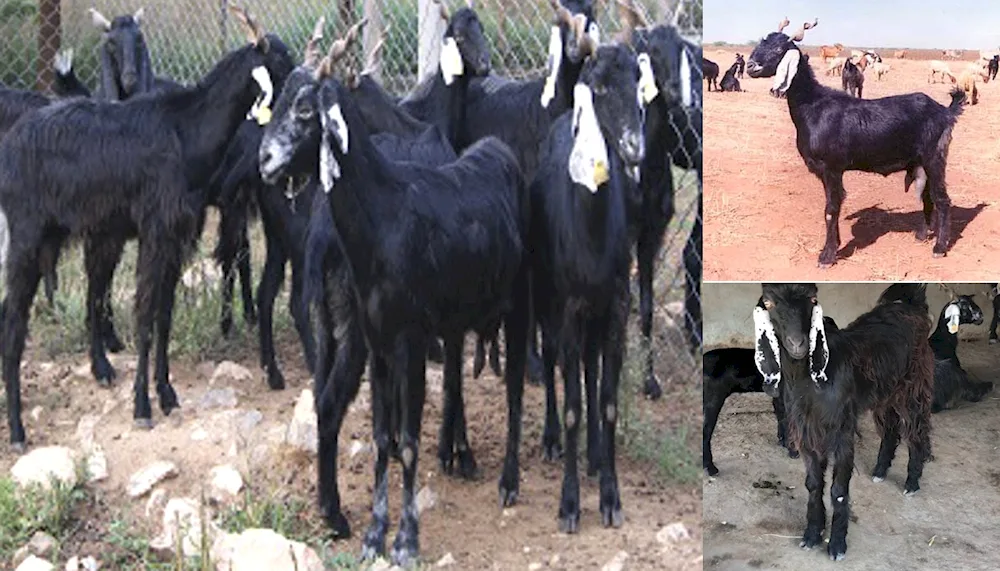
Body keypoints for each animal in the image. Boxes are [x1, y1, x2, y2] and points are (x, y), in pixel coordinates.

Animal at [0, 5, 292, 452]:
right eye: (280, 61)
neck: (185, 131)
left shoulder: (175, 237)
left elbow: (163, 316)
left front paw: (167, 394)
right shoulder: (155, 233)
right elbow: (143, 315)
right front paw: (141, 406)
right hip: (27, 237)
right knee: (14, 322)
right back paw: (17, 430)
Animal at [704, 348, 796, 478]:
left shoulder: (778, 395)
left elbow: (781, 416)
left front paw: (782, 441)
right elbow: (788, 420)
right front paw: (793, 451)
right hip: (713, 400)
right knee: (706, 432)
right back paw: (711, 468)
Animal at [748, 18, 964, 268]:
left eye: (778, 49)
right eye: (760, 43)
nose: (750, 66)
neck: (813, 106)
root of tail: (945, 112)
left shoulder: (831, 167)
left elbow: (831, 209)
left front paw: (827, 256)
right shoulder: (824, 172)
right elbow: (832, 208)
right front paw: (835, 246)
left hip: (934, 157)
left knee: (943, 199)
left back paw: (939, 247)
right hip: (920, 162)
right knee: (928, 196)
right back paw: (922, 235)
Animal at [756, 284, 936, 560]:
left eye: (813, 299)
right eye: (768, 303)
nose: (797, 343)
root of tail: (912, 306)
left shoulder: (841, 431)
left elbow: (839, 491)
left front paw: (837, 545)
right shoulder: (808, 432)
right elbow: (813, 484)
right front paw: (812, 535)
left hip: (913, 385)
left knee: (917, 430)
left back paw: (912, 482)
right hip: (885, 390)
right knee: (891, 428)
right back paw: (880, 471)